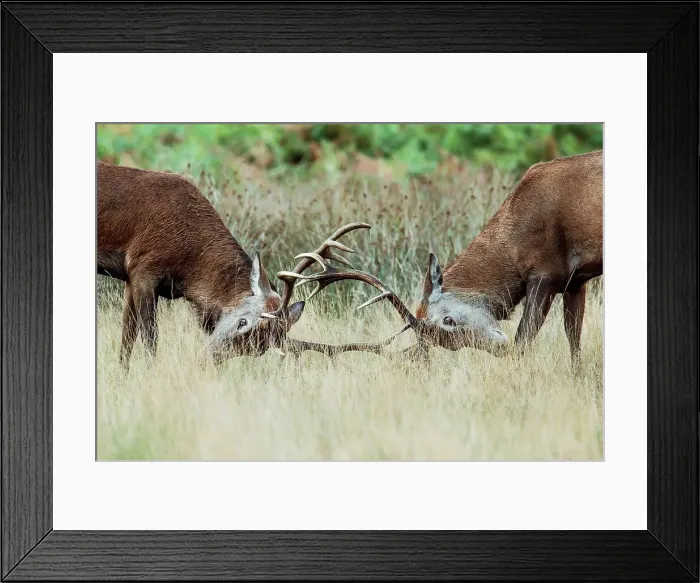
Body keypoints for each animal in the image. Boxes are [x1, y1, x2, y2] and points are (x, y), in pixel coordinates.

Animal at [97, 161, 389, 370]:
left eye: (256, 350)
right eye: (243, 321)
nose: (208, 359)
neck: (187, 269)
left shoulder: (130, 278)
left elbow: (126, 341)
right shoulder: (144, 266)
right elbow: (149, 339)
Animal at [283, 149, 603, 373]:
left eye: (448, 320)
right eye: (453, 347)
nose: (500, 348)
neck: (515, 242)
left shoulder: (544, 270)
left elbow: (525, 337)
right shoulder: (575, 280)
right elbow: (574, 338)